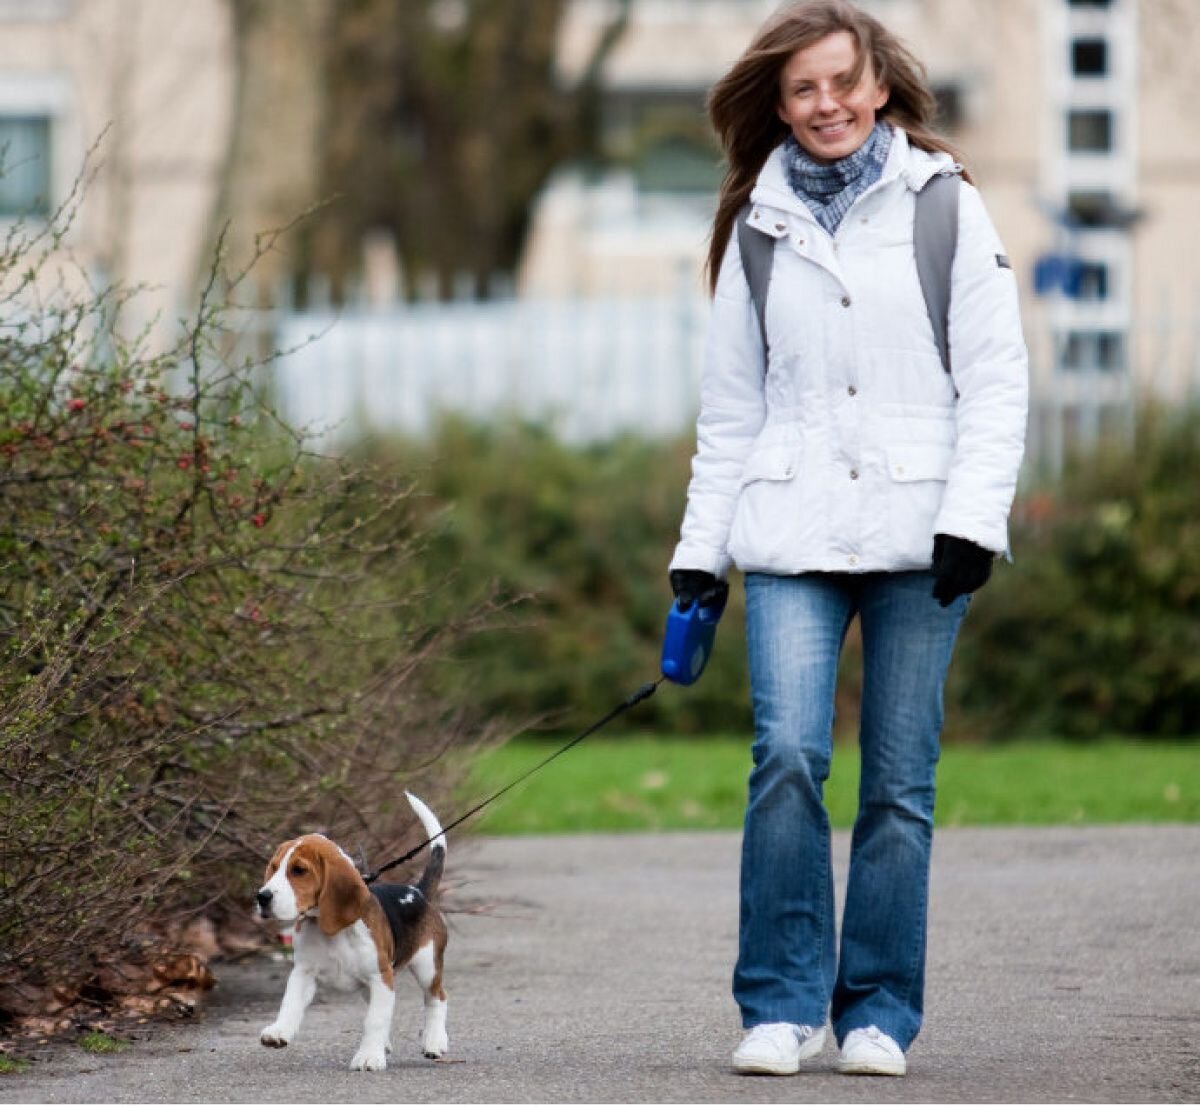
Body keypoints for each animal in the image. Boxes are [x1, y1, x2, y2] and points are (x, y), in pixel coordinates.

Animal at [258, 786, 451, 1065]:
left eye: (299, 870)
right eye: (273, 868)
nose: (261, 897)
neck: (331, 932)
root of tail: (418, 891)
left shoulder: (380, 977)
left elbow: (375, 1020)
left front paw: (369, 1057)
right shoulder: (303, 972)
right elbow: (290, 1003)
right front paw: (279, 1031)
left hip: (426, 965)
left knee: (437, 999)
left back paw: (434, 1041)